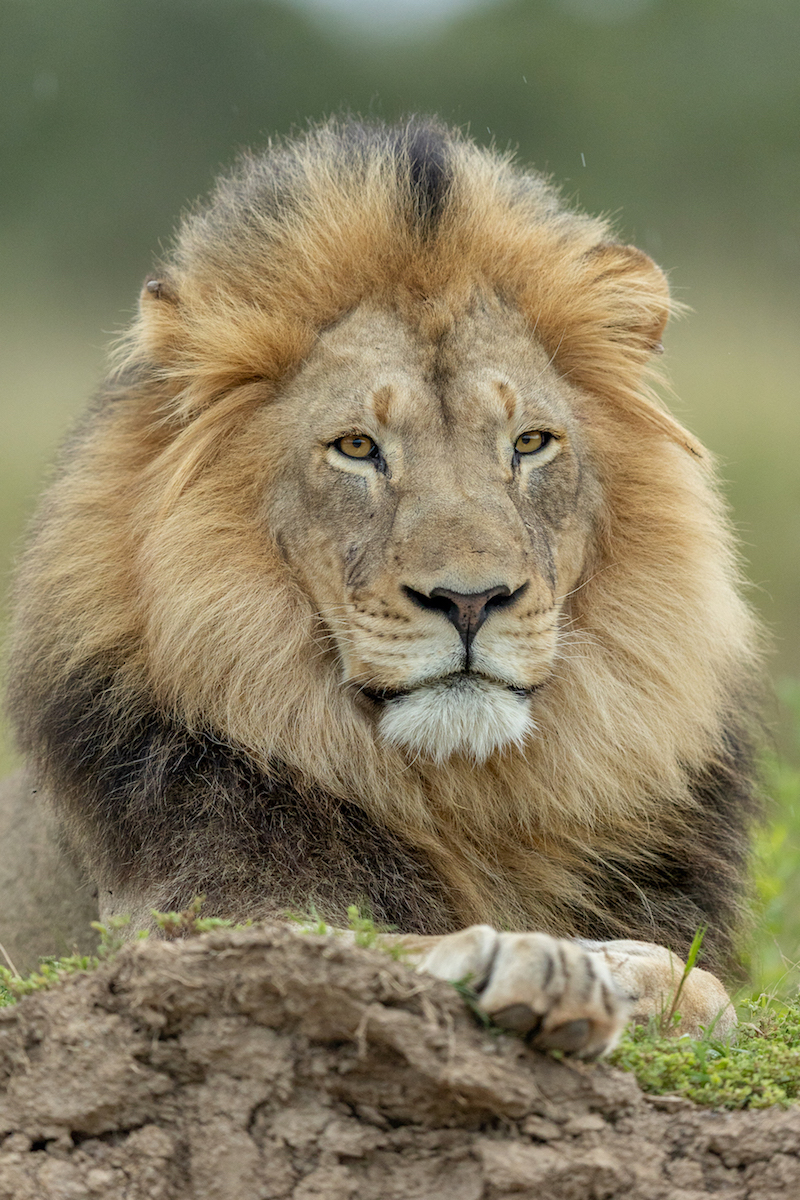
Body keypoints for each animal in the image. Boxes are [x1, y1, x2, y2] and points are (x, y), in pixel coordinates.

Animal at [0, 117, 762, 1056]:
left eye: (530, 443)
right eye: (357, 448)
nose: (470, 601)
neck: (467, 798)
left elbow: (703, 984)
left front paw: (625, 975)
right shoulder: (177, 929)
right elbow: (352, 941)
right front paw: (529, 961)